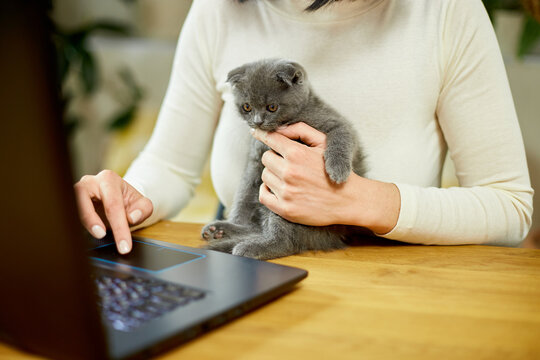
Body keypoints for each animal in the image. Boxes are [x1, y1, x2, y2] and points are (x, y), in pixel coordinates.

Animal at [202, 59, 368, 260]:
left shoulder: (336, 123)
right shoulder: (255, 161)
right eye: (247, 107)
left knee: (286, 241)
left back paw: (248, 246)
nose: (257, 121)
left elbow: (342, 136)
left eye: (272, 107)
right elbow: (242, 200)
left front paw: (338, 170)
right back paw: (220, 230)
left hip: (283, 202)